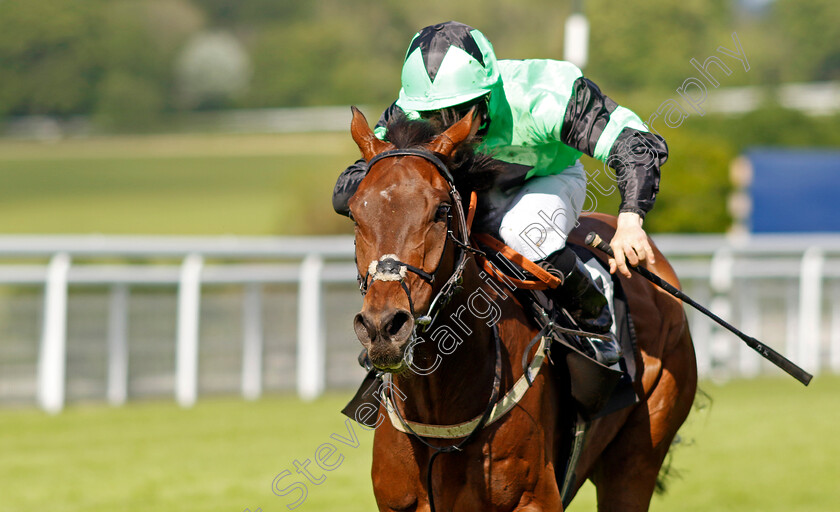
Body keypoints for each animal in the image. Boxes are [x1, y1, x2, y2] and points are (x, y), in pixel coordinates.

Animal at [346, 106, 696, 510]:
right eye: (355, 213)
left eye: (441, 210)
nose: (383, 327)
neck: (440, 407)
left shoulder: (534, 498)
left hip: (639, 452)